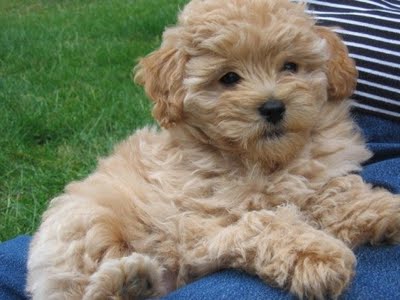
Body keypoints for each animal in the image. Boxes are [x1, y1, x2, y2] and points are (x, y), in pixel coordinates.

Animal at [25, 1, 400, 298]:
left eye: (290, 66)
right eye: (229, 78)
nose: (273, 107)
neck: (262, 160)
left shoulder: (317, 179)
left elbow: (340, 195)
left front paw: (387, 209)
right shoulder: (197, 226)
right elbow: (266, 224)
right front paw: (317, 255)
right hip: (86, 228)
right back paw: (126, 283)